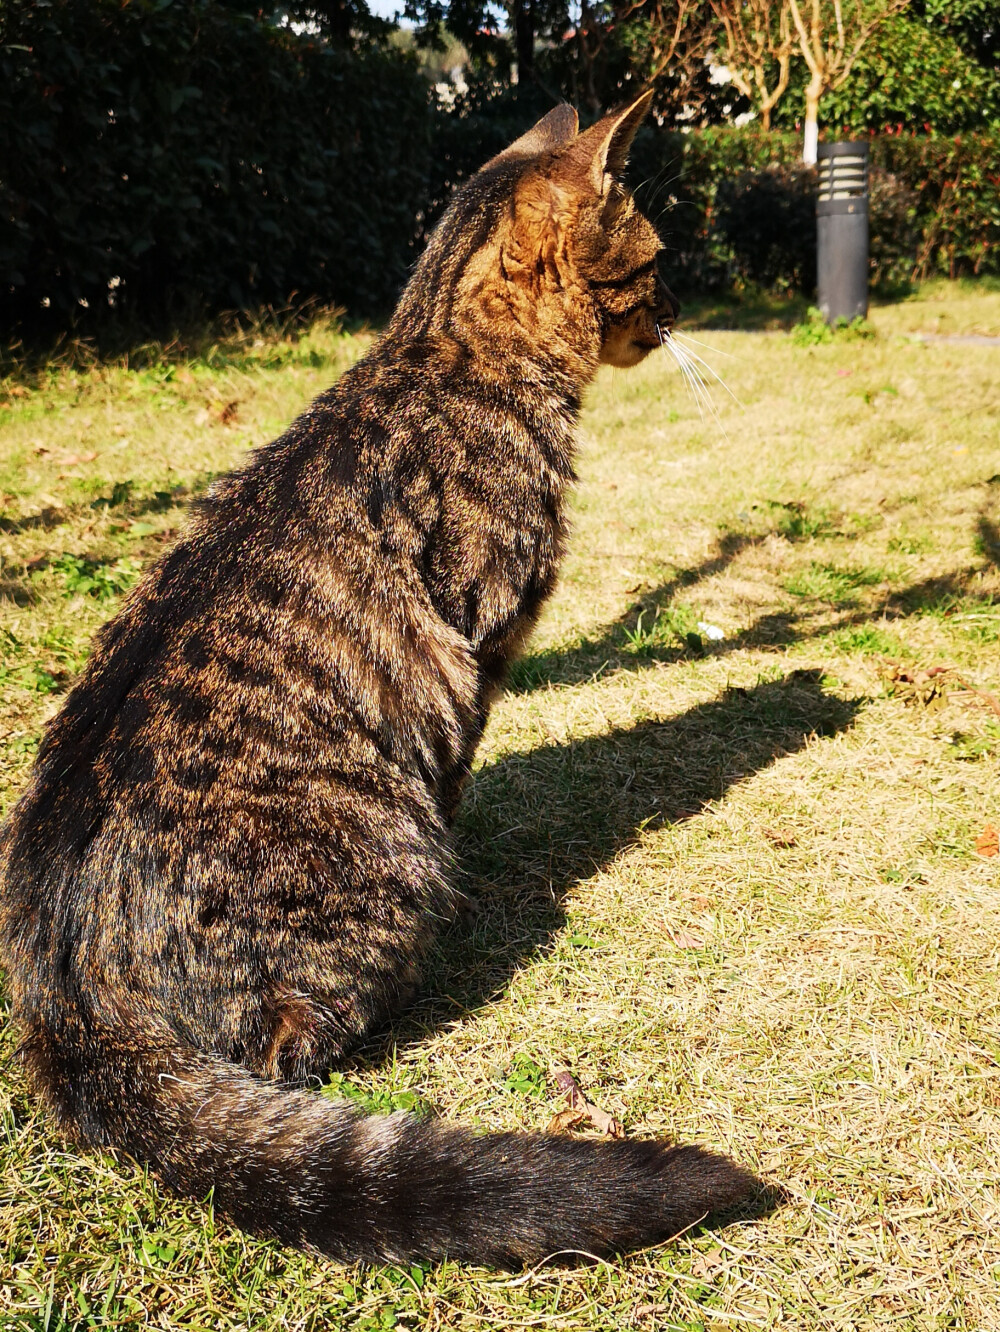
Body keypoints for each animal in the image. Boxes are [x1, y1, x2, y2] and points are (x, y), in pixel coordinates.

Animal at [0, 96, 756, 1268]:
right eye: (659, 262)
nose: (682, 307)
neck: (440, 346)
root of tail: (63, 989)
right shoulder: (482, 642)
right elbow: (458, 769)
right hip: (373, 867)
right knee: (288, 1050)